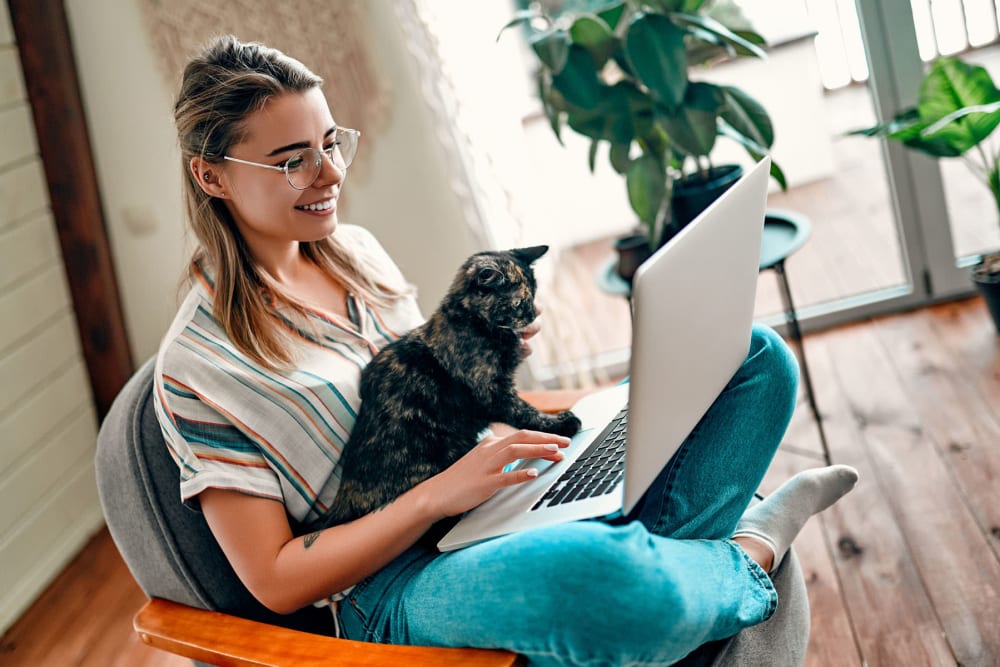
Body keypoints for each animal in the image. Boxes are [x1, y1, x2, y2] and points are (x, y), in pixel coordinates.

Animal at [324, 245, 584, 528]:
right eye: (520, 303)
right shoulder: (491, 391)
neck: (470, 321)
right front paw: (561, 424)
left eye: (533, 295)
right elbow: (525, 412)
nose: (532, 314)